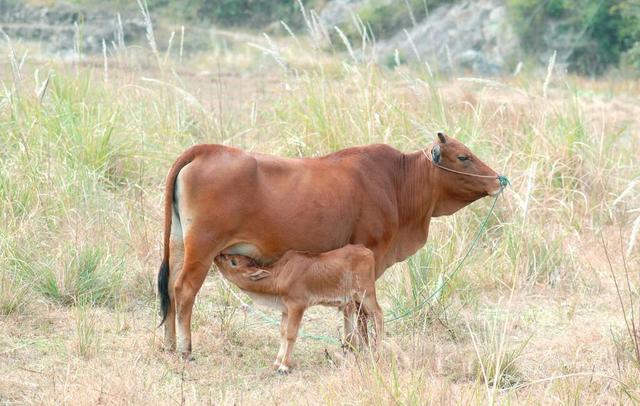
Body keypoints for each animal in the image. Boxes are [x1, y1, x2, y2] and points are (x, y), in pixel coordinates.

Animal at [158, 132, 502, 356]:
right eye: (463, 156)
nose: (498, 180)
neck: (398, 180)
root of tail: (205, 150)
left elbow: (349, 304)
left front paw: (349, 345)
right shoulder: (370, 255)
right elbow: (361, 308)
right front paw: (363, 347)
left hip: (178, 245)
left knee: (169, 289)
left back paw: (169, 344)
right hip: (202, 249)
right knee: (184, 290)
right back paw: (186, 348)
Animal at [212, 244, 382, 374]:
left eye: (233, 262)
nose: (218, 254)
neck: (279, 275)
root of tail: (366, 251)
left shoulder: (297, 306)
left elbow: (291, 334)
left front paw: (284, 366)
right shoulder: (285, 309)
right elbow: (282, 332)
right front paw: (277, 361)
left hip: (366, 294)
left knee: (378, 315)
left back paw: (377, 353)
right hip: (354, 299)